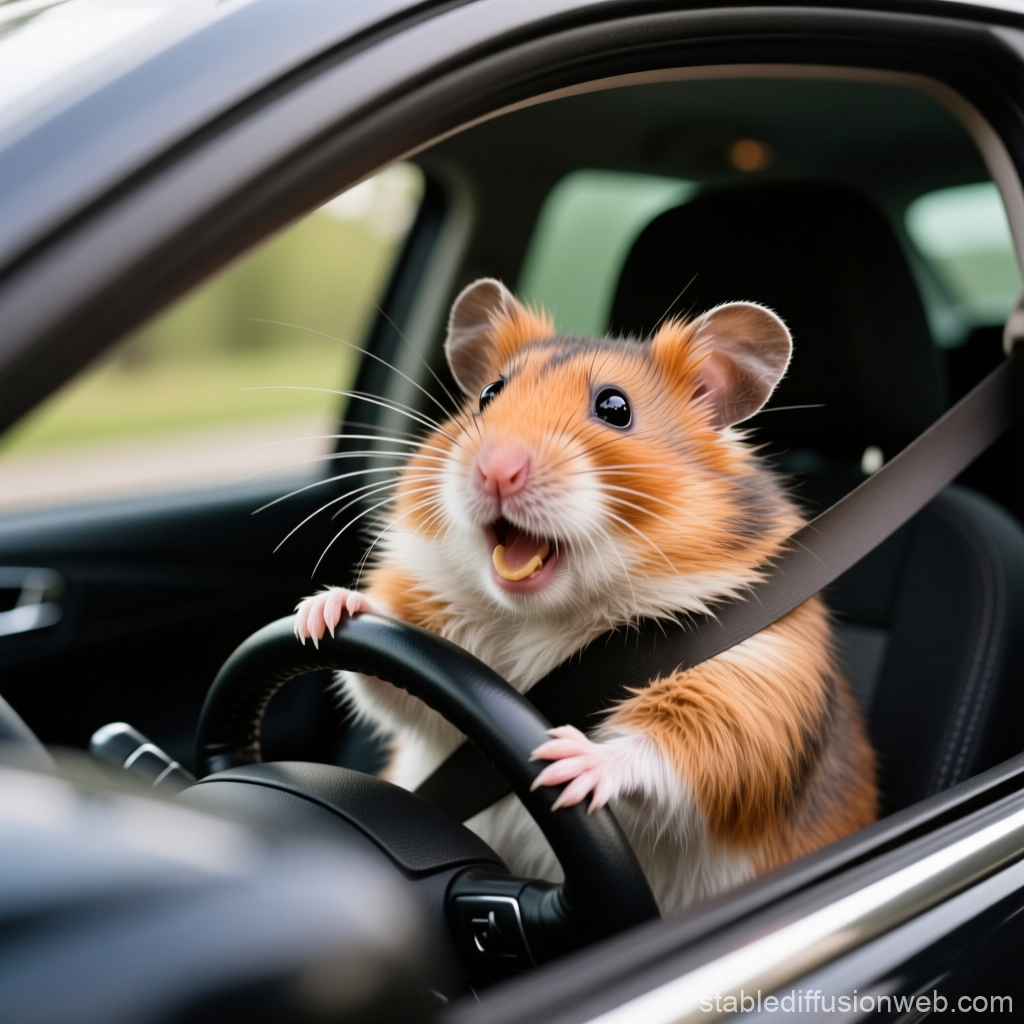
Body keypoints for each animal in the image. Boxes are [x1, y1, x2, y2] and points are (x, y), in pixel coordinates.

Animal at [295, 278, 878, 914]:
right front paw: (321, 613)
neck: (542, 617)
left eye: (614, 408)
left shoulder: (755, 678)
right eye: (489, 395)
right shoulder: (439, 706)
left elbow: (682, 744)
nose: (495, 470)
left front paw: (564, 761)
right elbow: (387, 683)